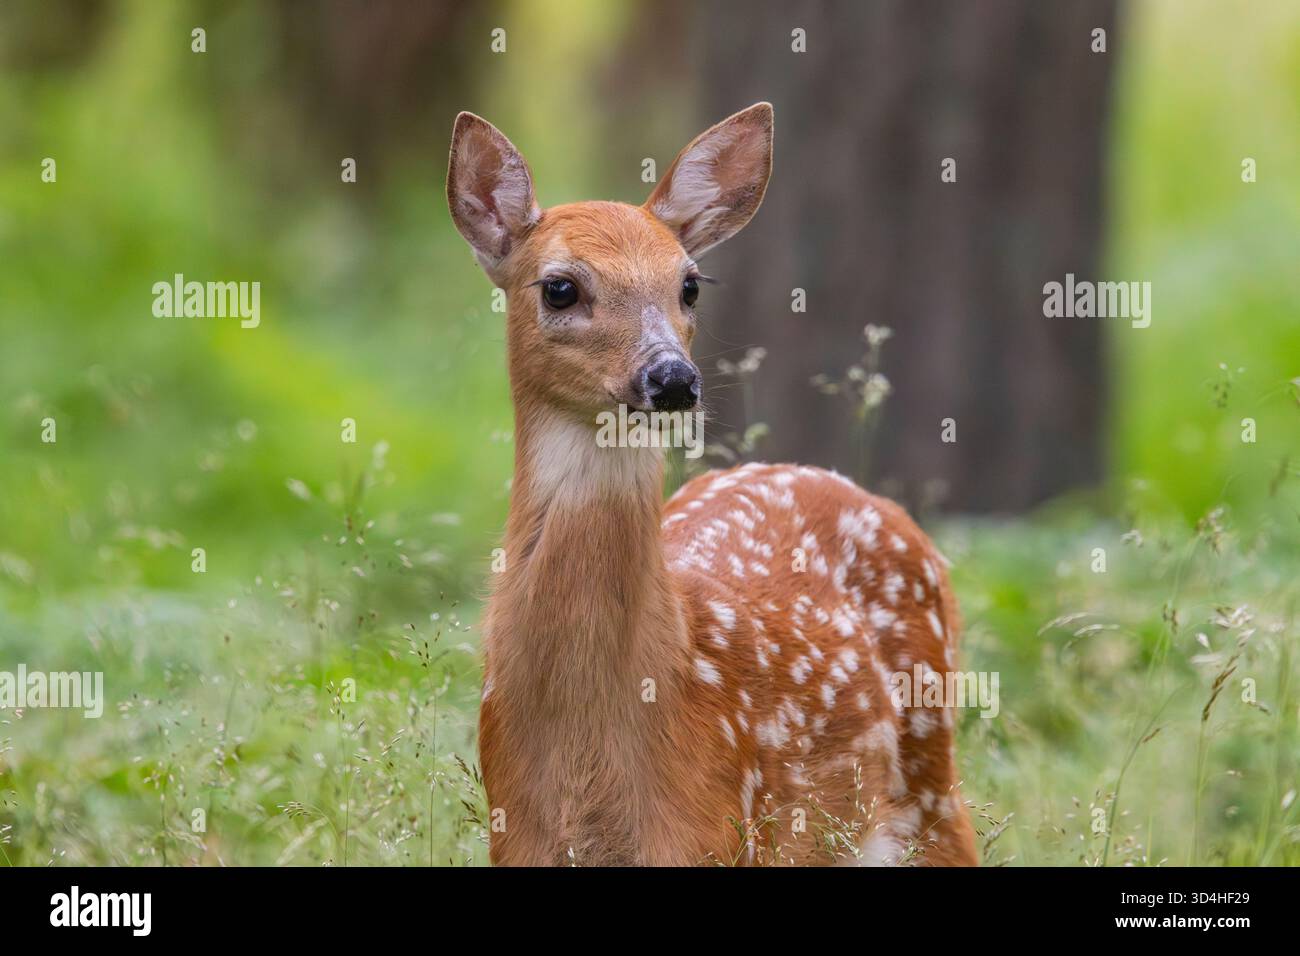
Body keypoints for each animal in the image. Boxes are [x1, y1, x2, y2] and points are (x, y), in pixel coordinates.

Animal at [446, 102, 978, 866]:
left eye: (690, 284)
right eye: (560, 287)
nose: (672, 378)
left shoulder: (713, 830)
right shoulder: (516, 838)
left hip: (930, 770)